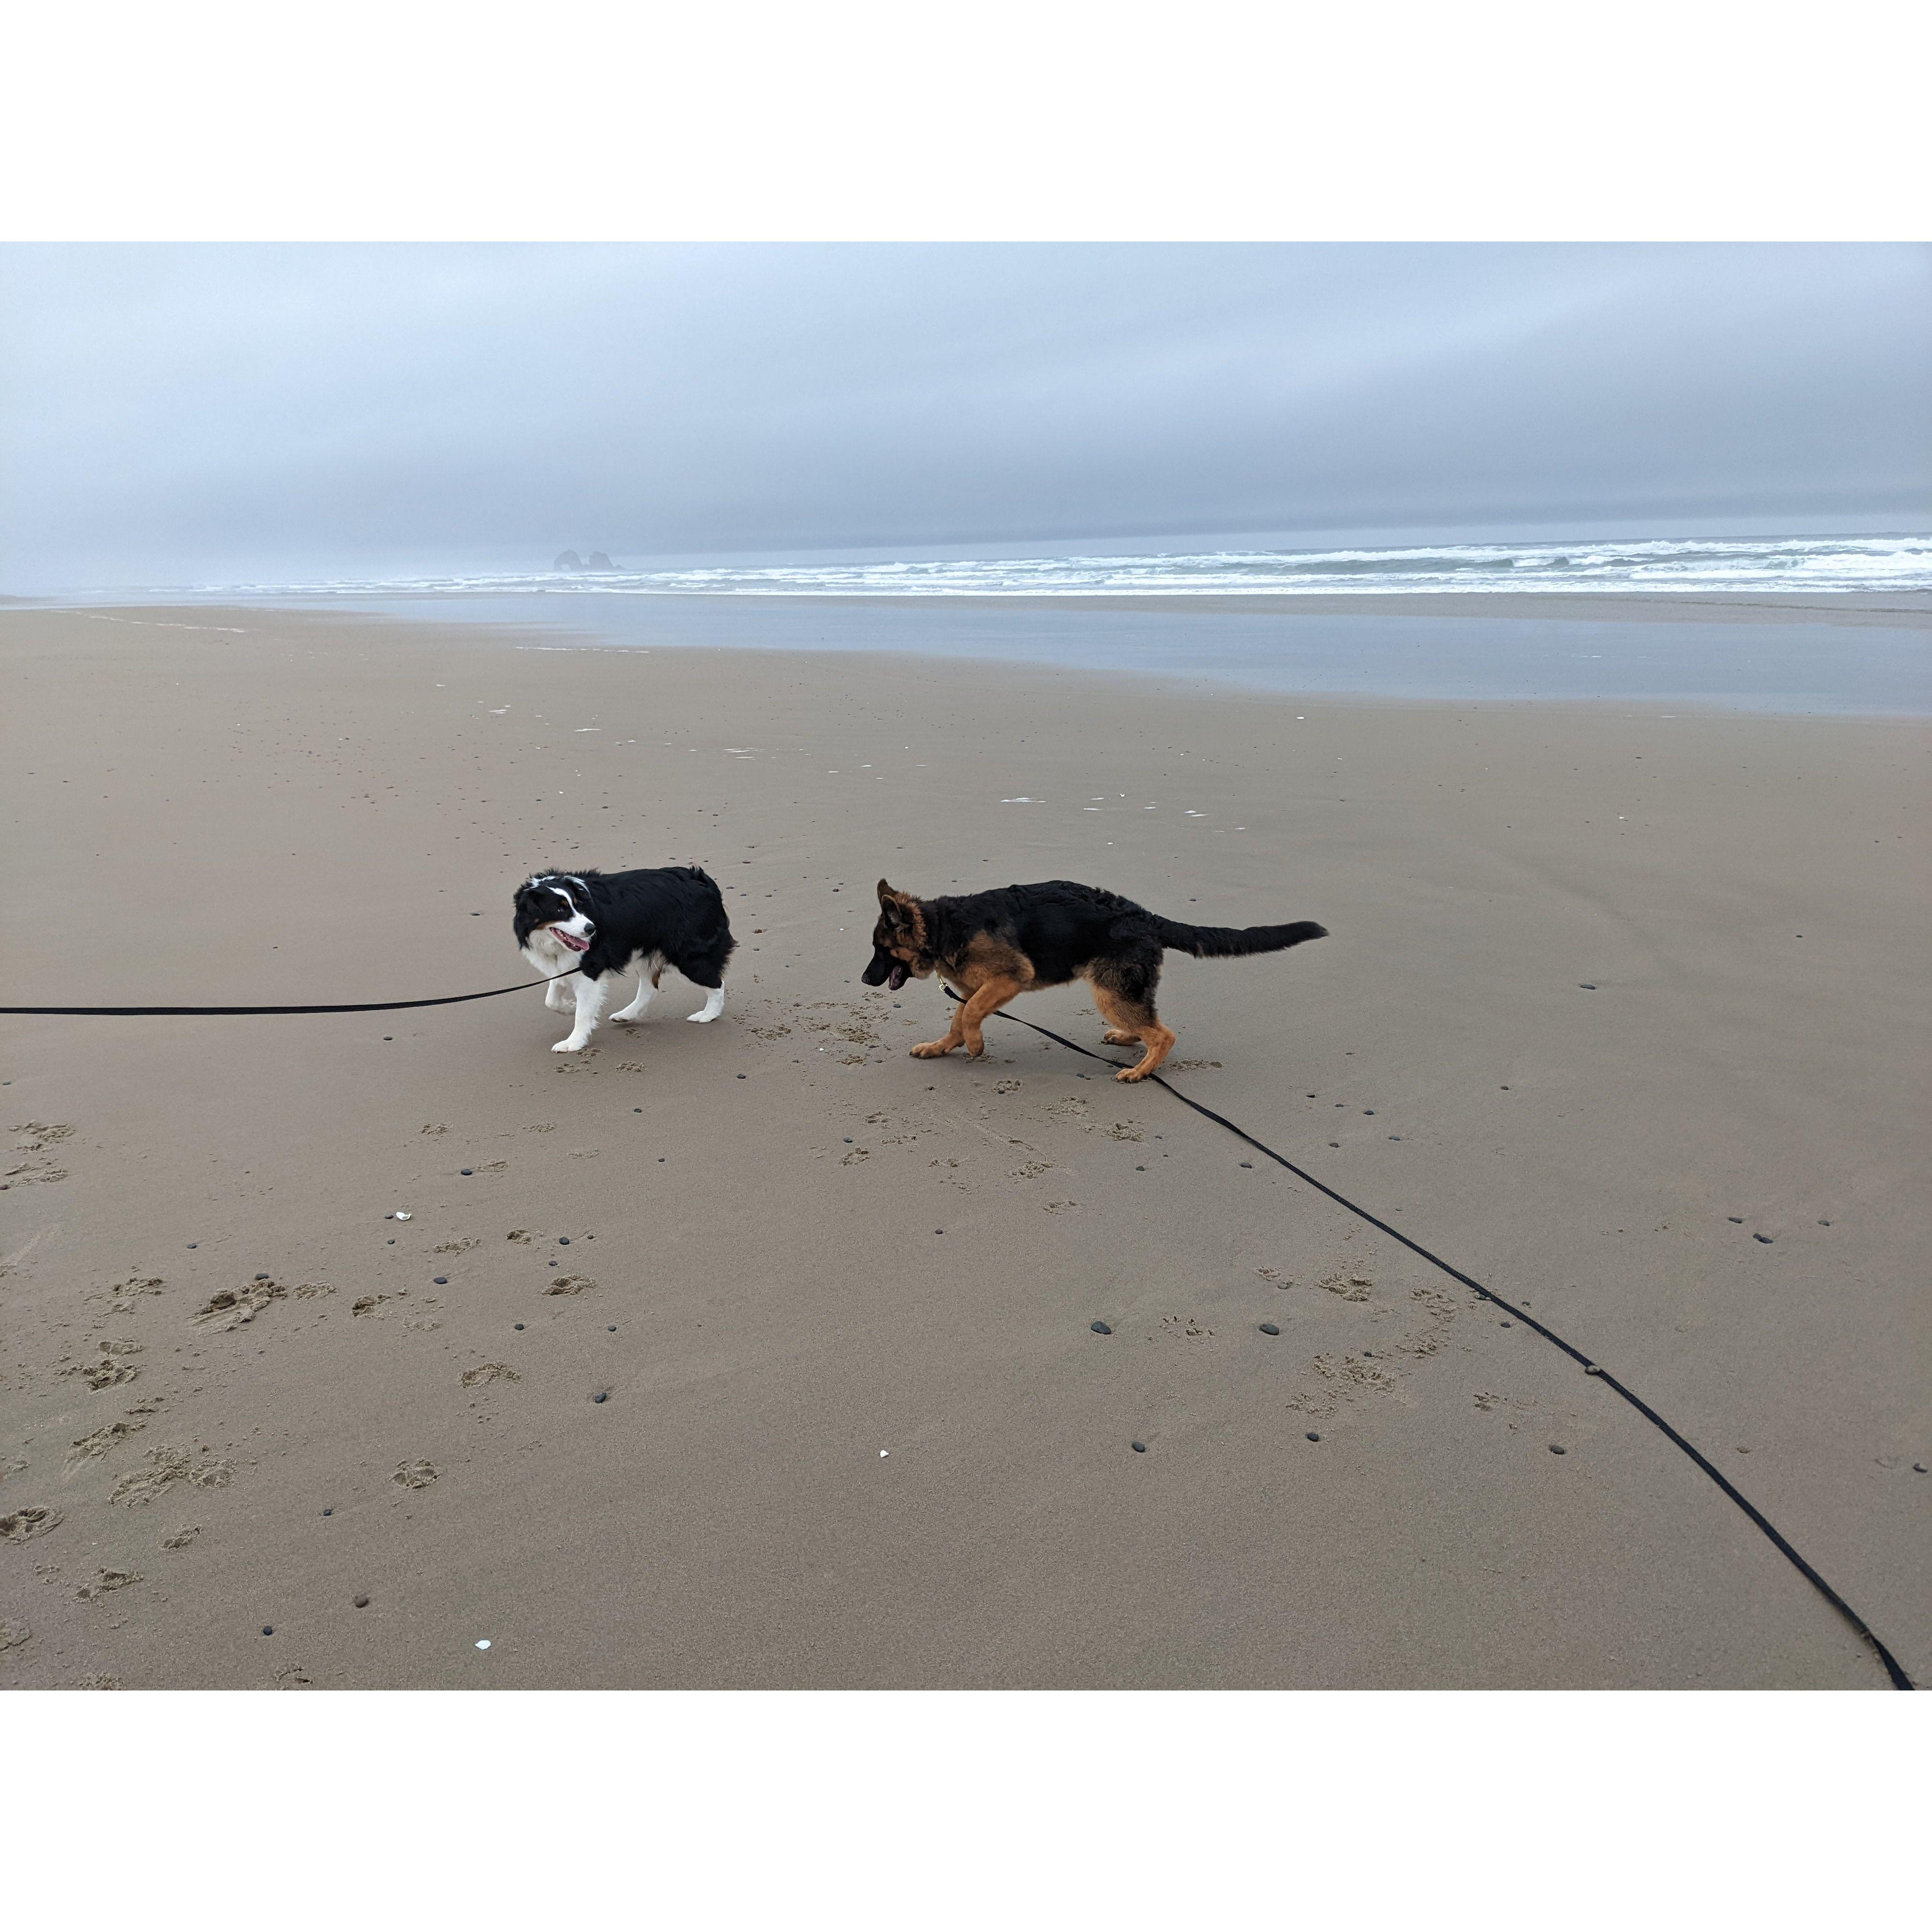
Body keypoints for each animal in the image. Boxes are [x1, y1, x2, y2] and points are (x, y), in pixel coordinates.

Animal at [865, 881, 1329, 1081]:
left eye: (881, 950)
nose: (865, 979)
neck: (943, 928)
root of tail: (1145, 917)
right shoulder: (970, 988)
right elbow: (960, 1018)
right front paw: (943, 1046)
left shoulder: (1010, 978)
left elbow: (972, 1013)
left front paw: (975, 1045)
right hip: (1118, 990)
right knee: (1148, 1021)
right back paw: (1128, 1040)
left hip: (1109, 991)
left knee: (1164, 1034)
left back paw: (1141, 1070)